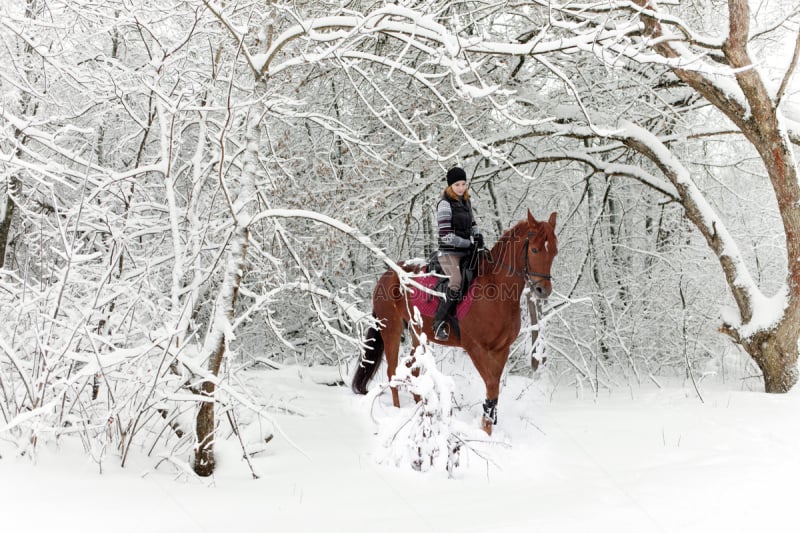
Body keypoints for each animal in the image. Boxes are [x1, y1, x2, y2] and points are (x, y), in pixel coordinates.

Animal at [350, 208, 556, 432]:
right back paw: (398, 411)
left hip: (416, 333)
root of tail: (387, 275)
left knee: (413, 369)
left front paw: (488, 427)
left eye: (554, 251)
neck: (495, 289)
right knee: (392, 371)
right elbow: (492, 386)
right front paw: (486, 429)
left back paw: (420, 408)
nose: (543, 290)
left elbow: (494, 388)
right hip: (391, 330)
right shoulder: (476, 349)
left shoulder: (501, 349)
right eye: (534, 250)